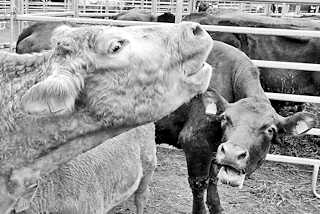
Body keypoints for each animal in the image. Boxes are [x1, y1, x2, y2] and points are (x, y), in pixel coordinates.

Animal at [155, 41, 316, 213]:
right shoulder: (195, 142)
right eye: (226, 118)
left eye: (270, 129)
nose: (232, 153)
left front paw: (216, 207)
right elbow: (199, 183)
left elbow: (213, 178)